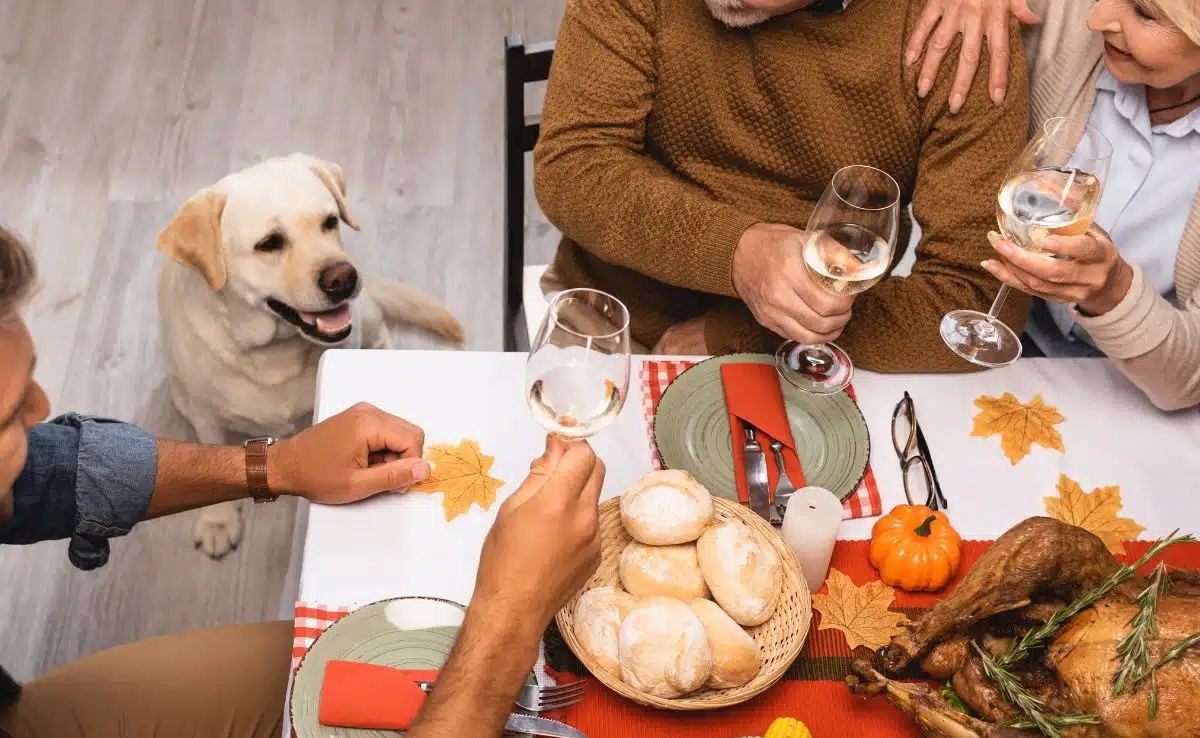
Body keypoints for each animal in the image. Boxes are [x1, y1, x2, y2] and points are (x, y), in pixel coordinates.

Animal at [159, 156, 458, 559]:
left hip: (369, 317)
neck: (275, 352)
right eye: (269, 243)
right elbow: (209, 448)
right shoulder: (206, 414)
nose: (344, 278)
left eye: (330, 221)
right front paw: (218, 521)